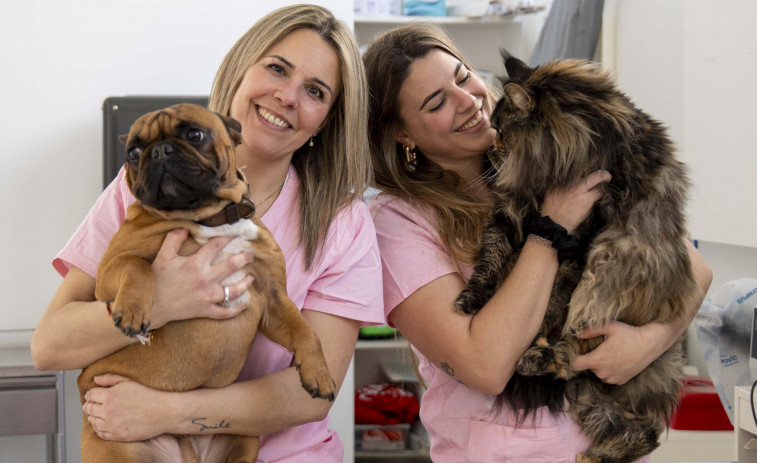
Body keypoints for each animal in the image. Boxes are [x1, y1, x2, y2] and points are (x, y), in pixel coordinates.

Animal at [452, 51, 700, 463]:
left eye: (501, 130)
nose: (490, 149)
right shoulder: (509, 212)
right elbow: (489, 260)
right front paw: (471, 298)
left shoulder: (582, 239)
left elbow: (556, 299)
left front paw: (539, 333)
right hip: (588, 395)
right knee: (642, 430)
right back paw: (594, 453)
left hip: (605, 270)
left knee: (577, 352)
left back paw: (536, 357)